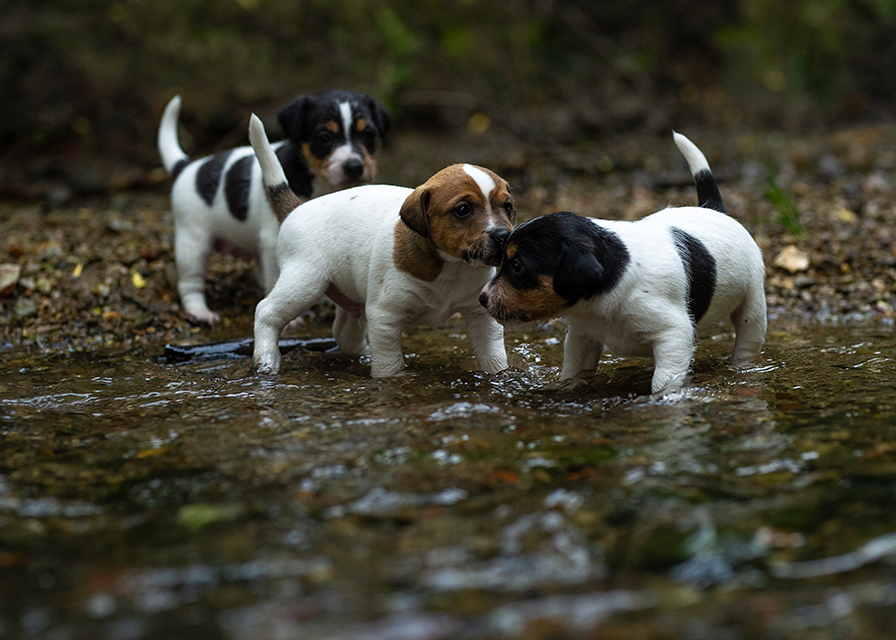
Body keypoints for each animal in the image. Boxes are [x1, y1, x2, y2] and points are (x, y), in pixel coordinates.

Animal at [155, 90, 392, 324]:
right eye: (324, 137)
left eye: (367, 134)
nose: (354, 166)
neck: (319, 182)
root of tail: (187, 167)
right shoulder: (272, 238)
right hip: (193, 243)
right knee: (190, 283)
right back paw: (199, 311)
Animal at [245, 114, 516, 378]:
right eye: (462, 210)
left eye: (508, 207)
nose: (504, 236)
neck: (452, 266)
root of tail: (297, 209)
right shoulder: (385, 317)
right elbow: (389, 363)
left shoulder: (481, 316)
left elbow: (493, 357)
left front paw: (500, 376)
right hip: (305, 282)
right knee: (266, 312)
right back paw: (266, 361)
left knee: (343, 333)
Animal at [480, 132, 768, 396]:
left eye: (517, 266)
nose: (482, 298)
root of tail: (713, 208)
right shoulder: (582, 337)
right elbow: (573, 372)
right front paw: (563, 389)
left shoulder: (673, 335)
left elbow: (663, 382)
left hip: (753, 304)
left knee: (747, 342)